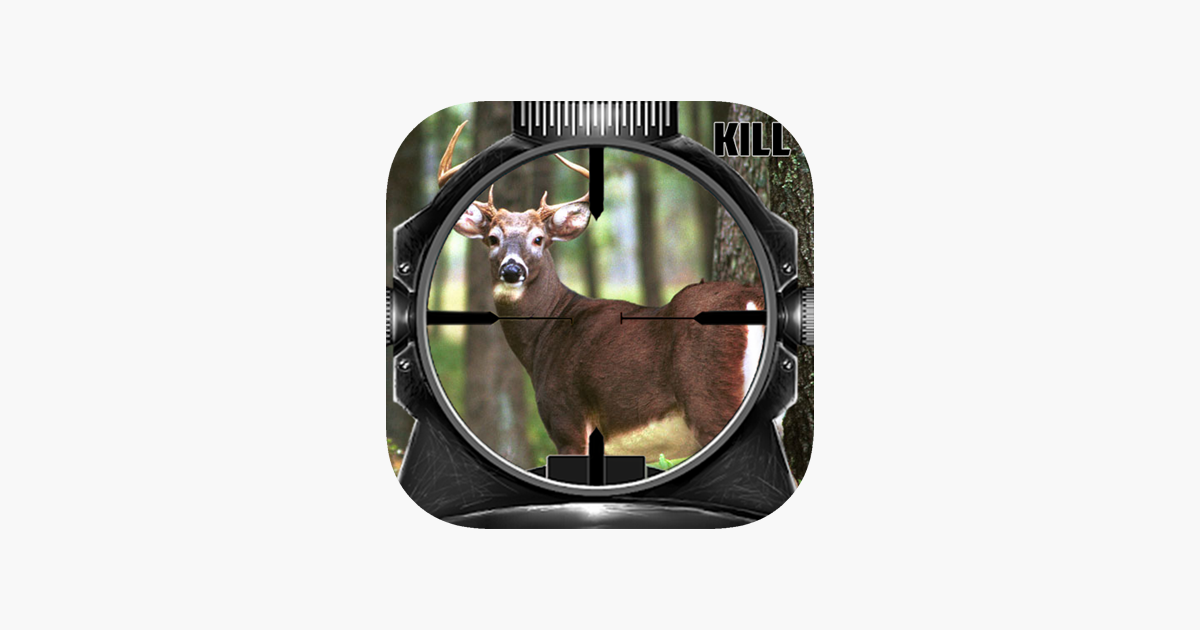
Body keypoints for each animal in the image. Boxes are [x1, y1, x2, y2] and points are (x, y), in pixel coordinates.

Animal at [440, 121, 765, 462]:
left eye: (538, 239)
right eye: (492, 238)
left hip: (709, 397)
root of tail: (751, 299)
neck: (546, 334)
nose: (512, 270)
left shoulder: (566, 418)